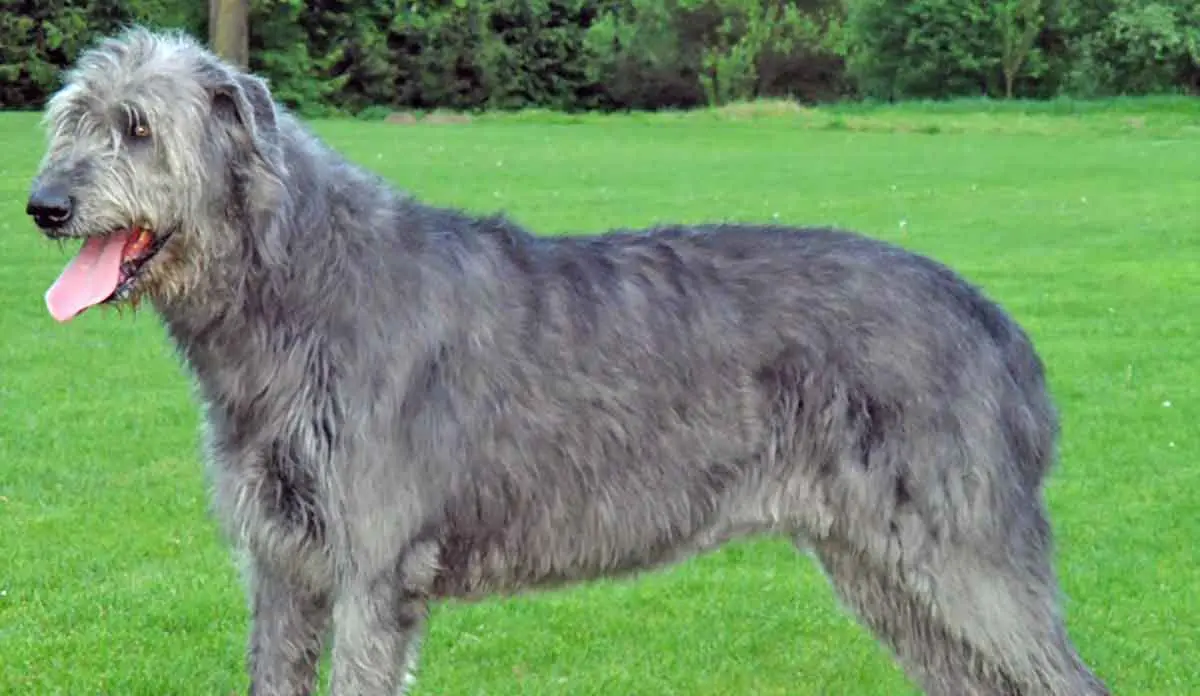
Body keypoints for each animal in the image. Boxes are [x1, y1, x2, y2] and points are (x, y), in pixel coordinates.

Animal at [28, 25, 1108, 696]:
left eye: (138, 129)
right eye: (69, 118)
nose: (43, 205)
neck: (299, 289)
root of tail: (998, 325)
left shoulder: (375, 567)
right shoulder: (283, 565)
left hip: (965, 555)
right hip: (885, 570)